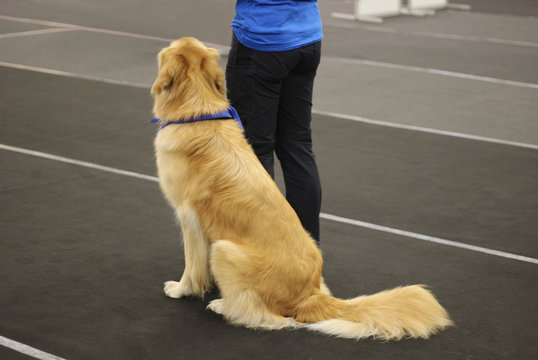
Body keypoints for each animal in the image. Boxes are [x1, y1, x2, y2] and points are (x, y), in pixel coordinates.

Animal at [151, 37, 452, 340]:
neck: (198, 111)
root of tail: (310, 296)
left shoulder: (189, 219)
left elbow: (191, 266)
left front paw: (181, 289)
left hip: (224, 249)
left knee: (260, 314)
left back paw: (223, 304)